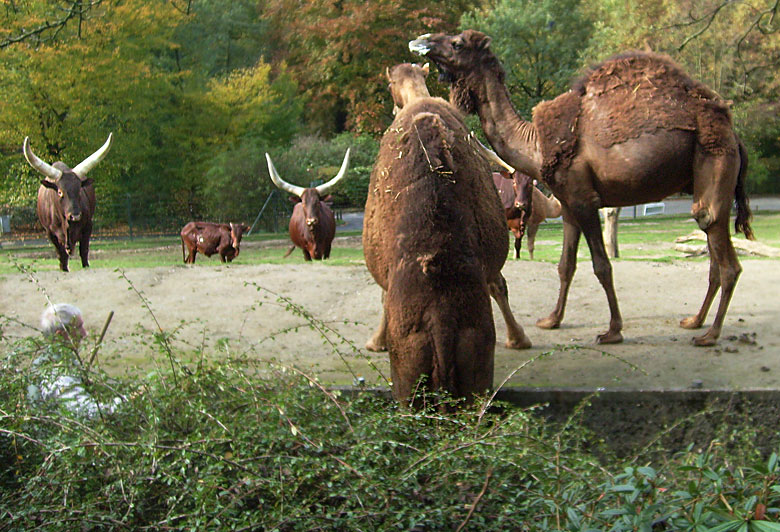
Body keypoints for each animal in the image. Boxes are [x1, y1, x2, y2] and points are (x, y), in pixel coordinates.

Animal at [23, 133, 112, 274]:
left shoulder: (88, 225)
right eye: (60, 192)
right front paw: (64, 269)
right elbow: (61, 256)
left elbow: (84, 251)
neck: (66, 223)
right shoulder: (50, 233)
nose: (75, 216)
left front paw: (86, 266)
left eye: (79, 189)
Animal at [412, 30, 752, 344]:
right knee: (713, 251)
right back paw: (695, 321)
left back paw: (710, 334)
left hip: (715, 158)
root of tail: (734, 134)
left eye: (456, 43)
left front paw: (613, 331)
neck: (536, 145)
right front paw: (551, 320)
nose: (420, 41)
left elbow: (602, 266)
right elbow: (566, 265)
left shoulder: (584, 200)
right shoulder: (568, 205)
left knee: (722, 249)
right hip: (699, 175)